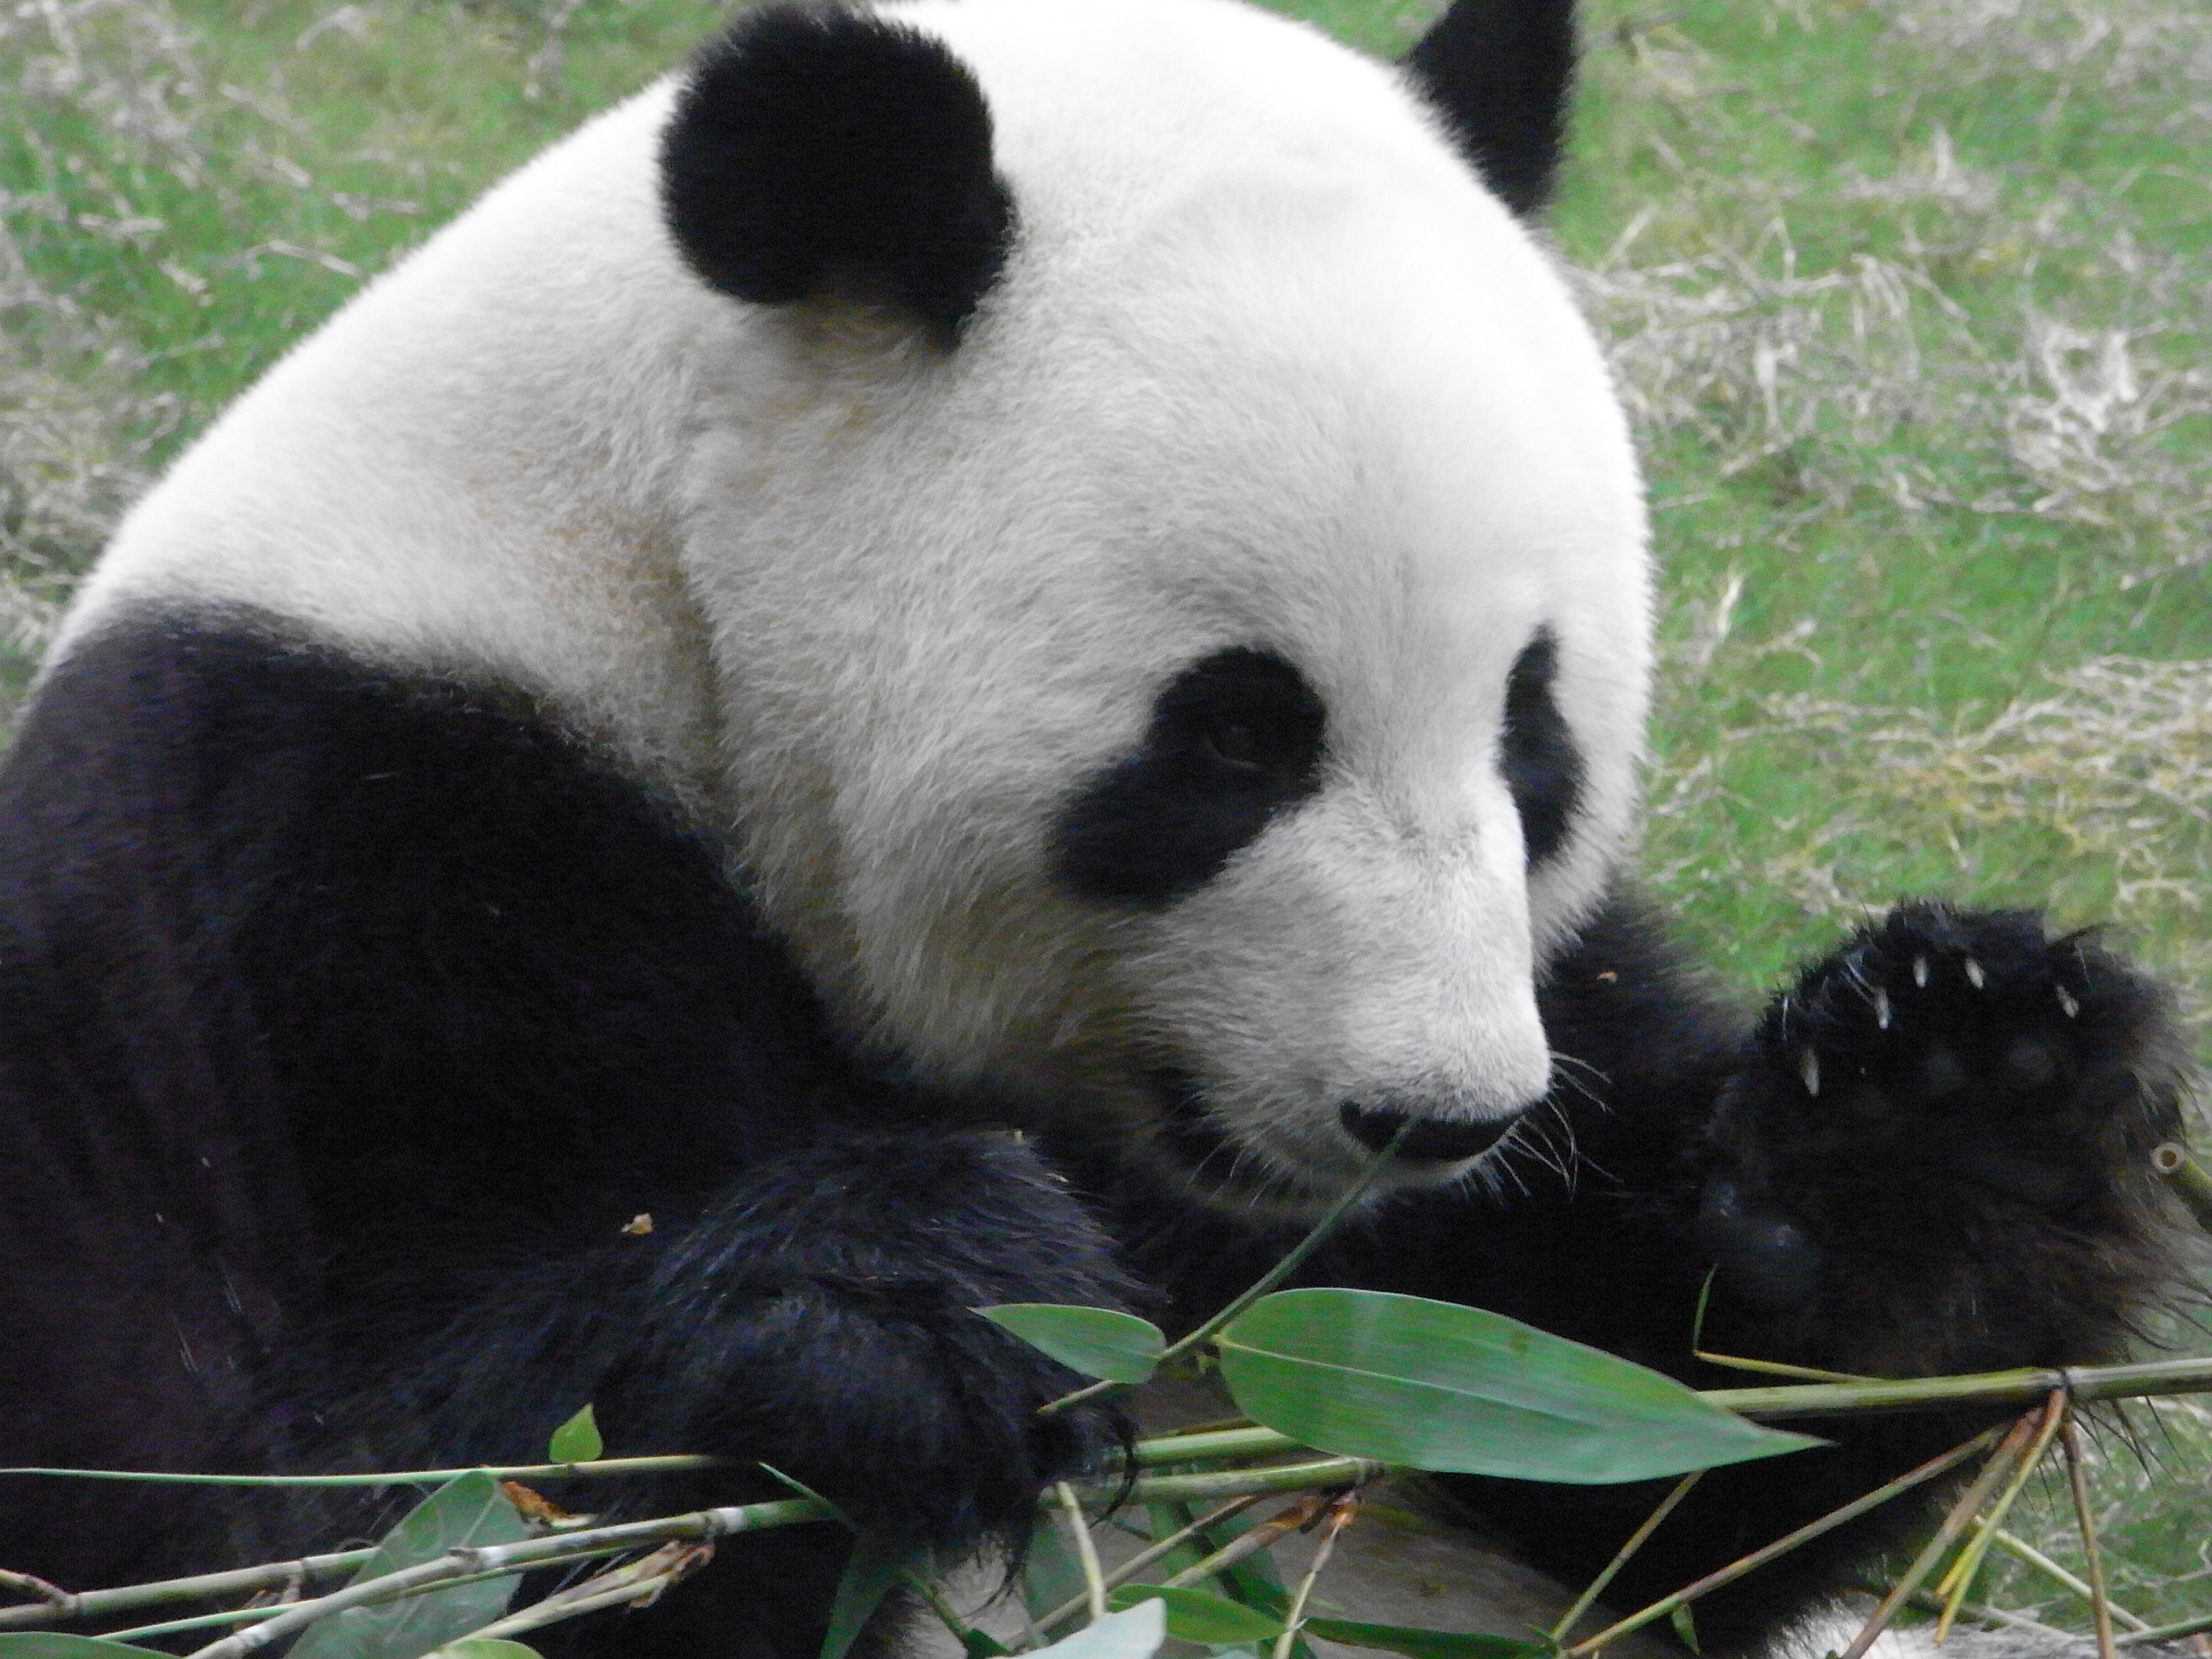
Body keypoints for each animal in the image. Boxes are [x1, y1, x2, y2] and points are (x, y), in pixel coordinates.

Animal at [0, 0, 2193, 1654]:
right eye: (1232, 737)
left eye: (1530, 728)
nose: (1436, 1114)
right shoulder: (292, 856)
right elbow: (289, 1509)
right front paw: (904, 1307)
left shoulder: (1519, 1069)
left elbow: (1646, 1453)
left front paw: (1947, 1093)